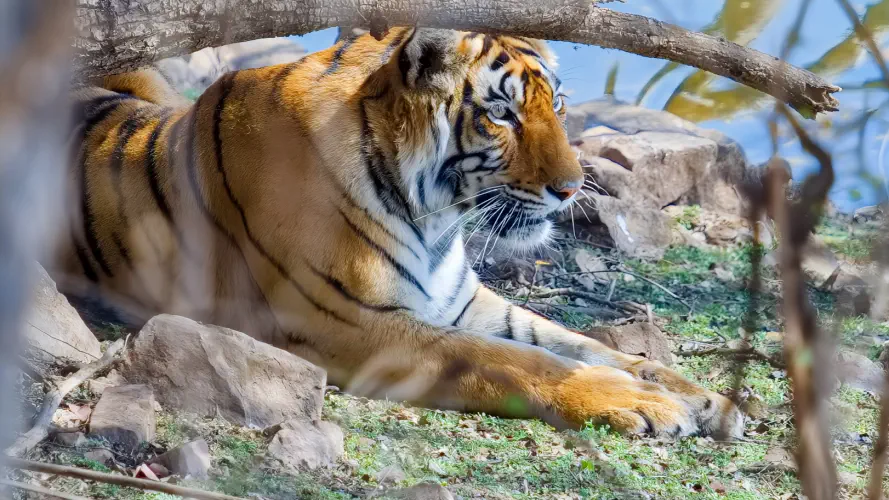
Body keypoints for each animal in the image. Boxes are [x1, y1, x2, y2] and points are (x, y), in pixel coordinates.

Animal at [56, 28, 743, 438]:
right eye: (501, 113)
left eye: (558, 105)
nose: (573, 188)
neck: (436, 217)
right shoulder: (343, 324)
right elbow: (512, 360)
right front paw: (642, 403)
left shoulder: (462, 300)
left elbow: (579, 343)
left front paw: (704, 398)